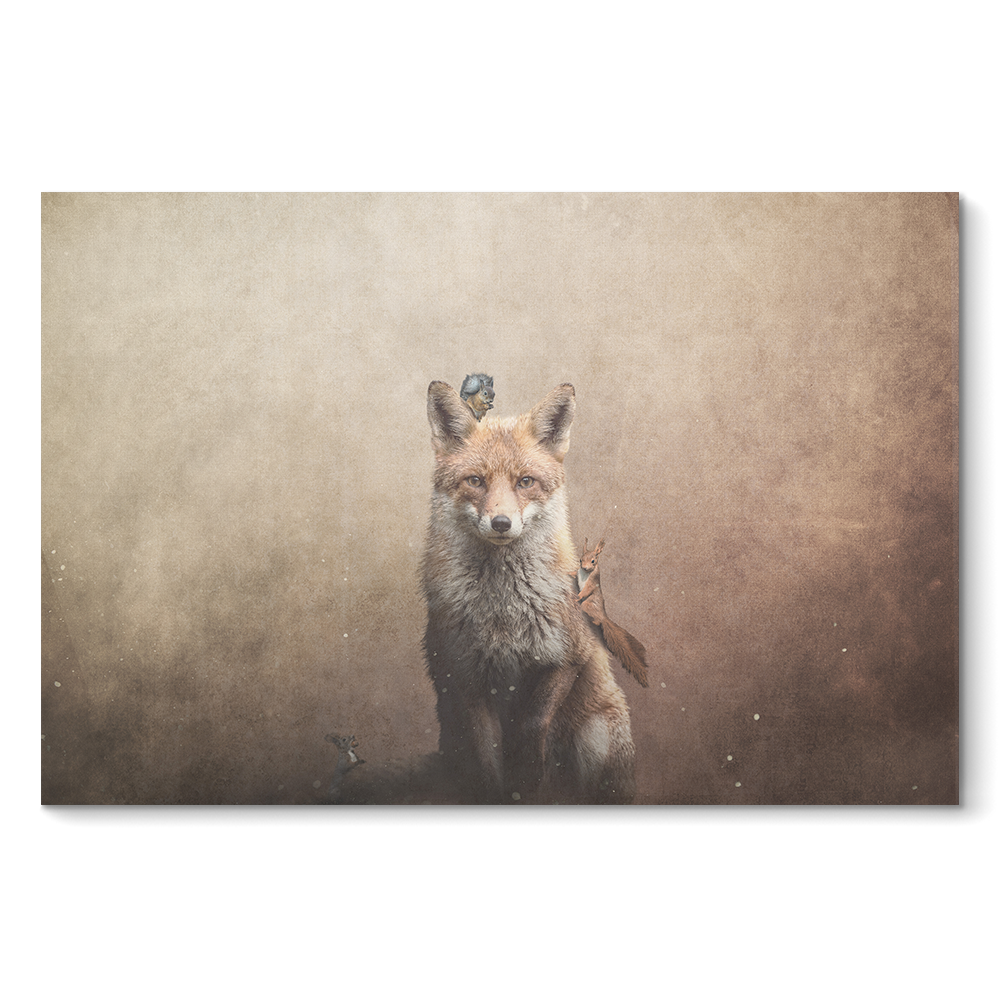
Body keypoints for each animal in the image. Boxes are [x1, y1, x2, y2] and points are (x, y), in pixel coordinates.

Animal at [422, 380, 636, 804]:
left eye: (525, 482)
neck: (504, 615)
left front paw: (531, 776)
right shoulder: (466, 676)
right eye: (476, 480)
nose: (501, 523)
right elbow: (486, 757)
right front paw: (499, 787)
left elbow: (533, 723)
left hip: (596, 739)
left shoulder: (567, 657)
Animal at [575, 538, 650, 688]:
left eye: (593, 561)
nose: (585, 567)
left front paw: (575, 598)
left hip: (588, 605)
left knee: (596, 618)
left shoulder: (591, 584)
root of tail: (604, 617)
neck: (585, 574)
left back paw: (594, 620)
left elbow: (584, 592)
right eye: (580, 559)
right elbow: (574, 574)